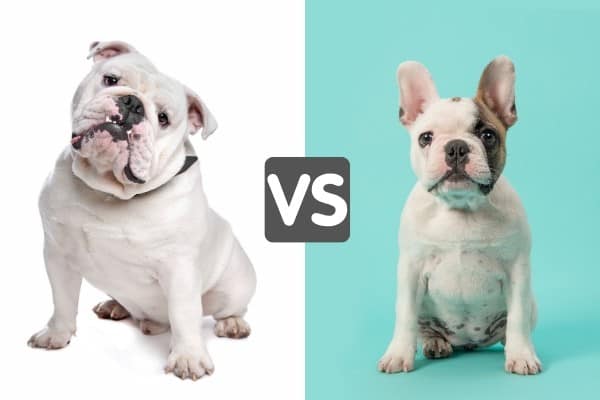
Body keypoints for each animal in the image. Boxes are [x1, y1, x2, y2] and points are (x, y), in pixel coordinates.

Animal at [28, 41, 255, 382]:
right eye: (110, 79)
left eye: (163, 118)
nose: (132, 104)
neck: (109, 191)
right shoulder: (58, 254)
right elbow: (63, 299)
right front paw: (57, 334)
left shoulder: (180, 269)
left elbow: (185, 313)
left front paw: (188, 357)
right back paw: (116, 306)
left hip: (234, 285)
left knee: (227, 308)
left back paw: (232, 323)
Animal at [378, 55, 540, 376]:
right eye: (425, 138)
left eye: (488, 135)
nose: (455, 147)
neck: (460, 208)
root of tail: (468, 343)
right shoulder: (411, 269)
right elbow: (404, 316)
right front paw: (398, 354)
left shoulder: (517, 270)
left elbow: (517, 318)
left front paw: (522, 355)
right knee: (425, 328)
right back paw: (436, 343)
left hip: (532, 303)